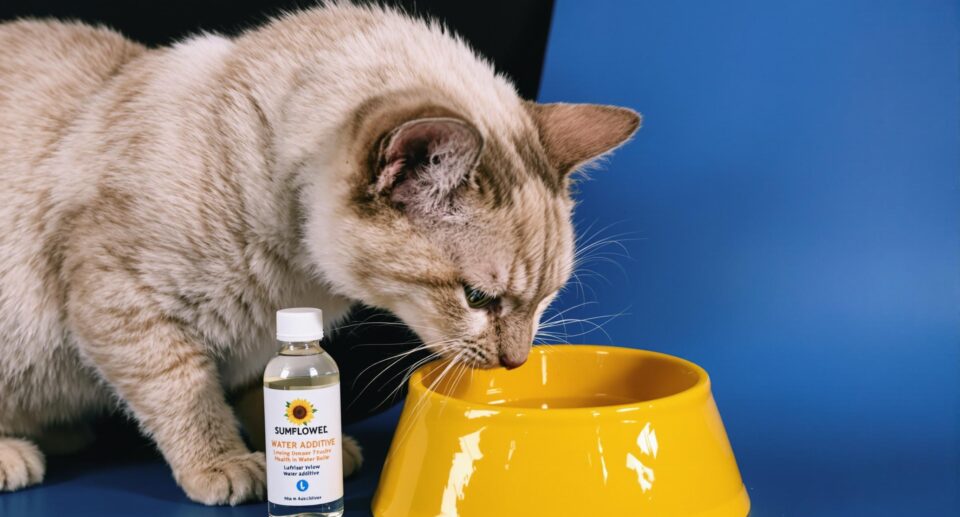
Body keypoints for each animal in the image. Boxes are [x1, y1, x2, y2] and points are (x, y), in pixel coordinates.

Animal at [0, 2, 636, 504]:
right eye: (477, 297)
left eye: (547, 299)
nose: (516, 362)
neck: (299, 276)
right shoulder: (122, 301)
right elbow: (186, 392)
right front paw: (224, 463)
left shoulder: (262, 336)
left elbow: (265, 389)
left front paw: (305, 442)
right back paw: (16, 453)